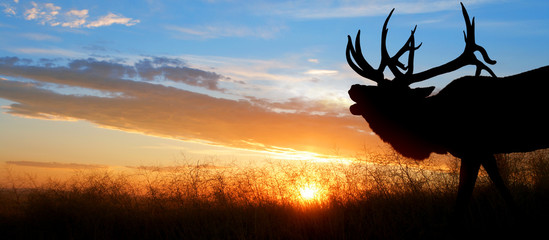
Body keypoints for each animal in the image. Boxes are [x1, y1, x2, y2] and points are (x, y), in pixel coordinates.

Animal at [346, 3, 548, 210]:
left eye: (390, 92)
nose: (354, 88)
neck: (438, 131)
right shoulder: (485, 152)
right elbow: (503, 189)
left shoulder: (474, 149)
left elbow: (463, 199)